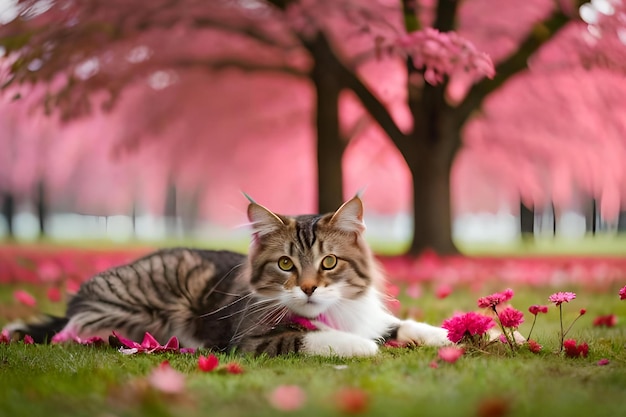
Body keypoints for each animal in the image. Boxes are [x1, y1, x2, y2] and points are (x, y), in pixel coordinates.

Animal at [6, 197, 448, 356]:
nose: (308, 288)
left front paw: (445, 334)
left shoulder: (367, 314)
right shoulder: (253, 339)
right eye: (285, 265)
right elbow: (312, 336)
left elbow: (399, 324)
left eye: (328, 263)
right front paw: (361, 346)